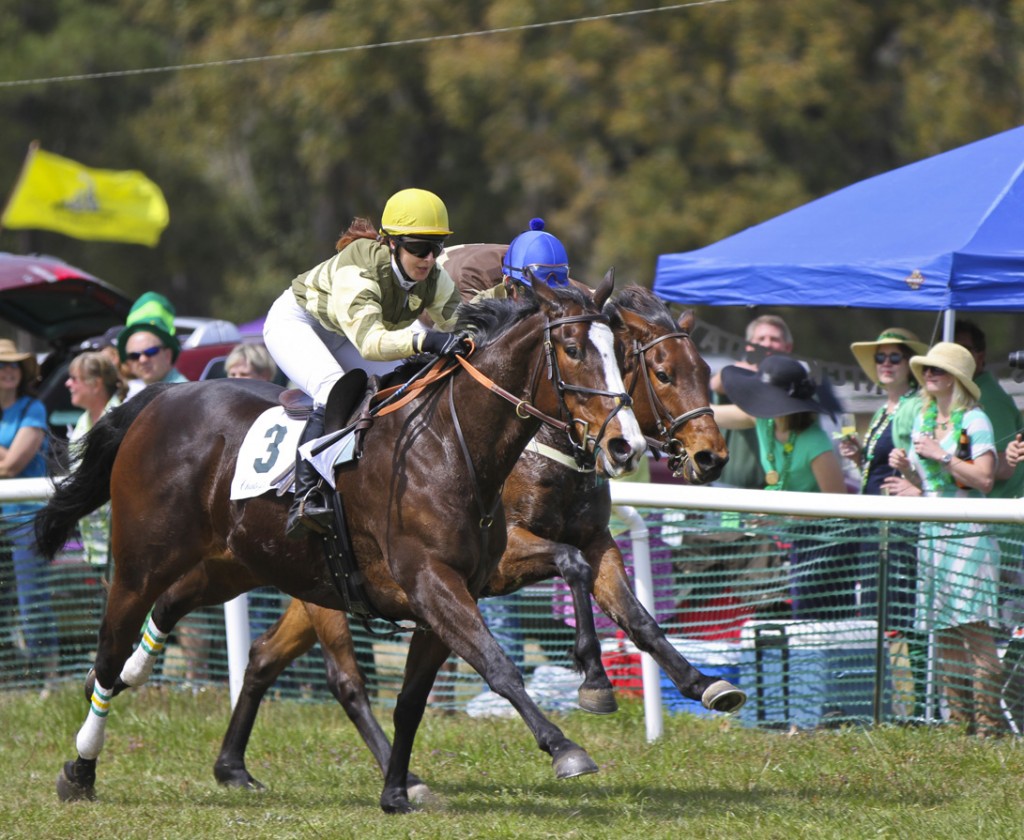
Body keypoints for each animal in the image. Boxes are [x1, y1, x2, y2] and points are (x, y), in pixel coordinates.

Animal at [36, 276, 643, 815]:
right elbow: (498, 668)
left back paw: (163, 701)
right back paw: (81, 768)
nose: (626, 444)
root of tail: (160, 398)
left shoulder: (447, 594)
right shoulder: (432, 583)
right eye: (572, 349)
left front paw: (397, 792)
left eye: (621, 352)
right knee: (109, 652)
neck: (450, 445)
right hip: (143, 562)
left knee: (174, 613)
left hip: (235, 562)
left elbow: (411, 700)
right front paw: (565, 745)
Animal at [211, 284, 741, 790]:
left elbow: (637, 617)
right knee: (345, 678)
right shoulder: (503, 560)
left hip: (320, 585)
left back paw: (233, 765)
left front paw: (702, 682)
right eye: (663, 373)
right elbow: (570, 563)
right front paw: (593, 680)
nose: (712, 456)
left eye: (702, 369)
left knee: (264, 655)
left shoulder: (597, 541)